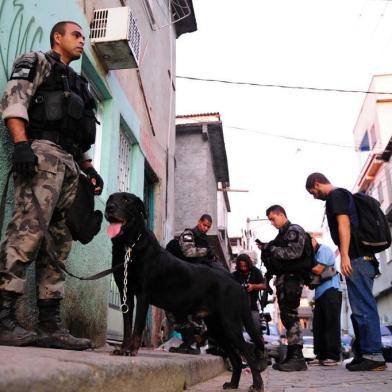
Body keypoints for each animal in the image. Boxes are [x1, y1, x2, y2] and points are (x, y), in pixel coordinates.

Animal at [105, 194, 266, 392]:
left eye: (126, 201)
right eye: (110, 199)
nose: (110, 208)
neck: (129, 245)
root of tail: (238, 285)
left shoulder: (143, 295)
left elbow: (136, 327)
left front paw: (130, 350)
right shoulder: (125, 294)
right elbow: (127, 327)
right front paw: (123, 349)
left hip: (230, 324)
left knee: (247, 351)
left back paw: (257, 384)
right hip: (218, 328)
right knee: (235, 358)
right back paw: (233, 384)